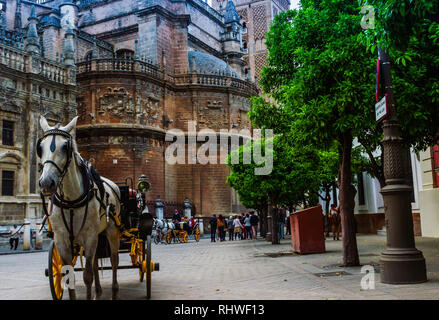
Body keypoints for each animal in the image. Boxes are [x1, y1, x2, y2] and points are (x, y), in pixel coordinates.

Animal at [36, 115, 120, 300]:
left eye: (65, 147)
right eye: (40, 147)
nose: (46, 183)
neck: (71, 201)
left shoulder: (89, 236)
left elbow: (87, 276)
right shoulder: (62, 240)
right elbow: (69, 276)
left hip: (111, 231)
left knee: (114, 260)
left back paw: (114, 291)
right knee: (95, 261)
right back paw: (98, 293)